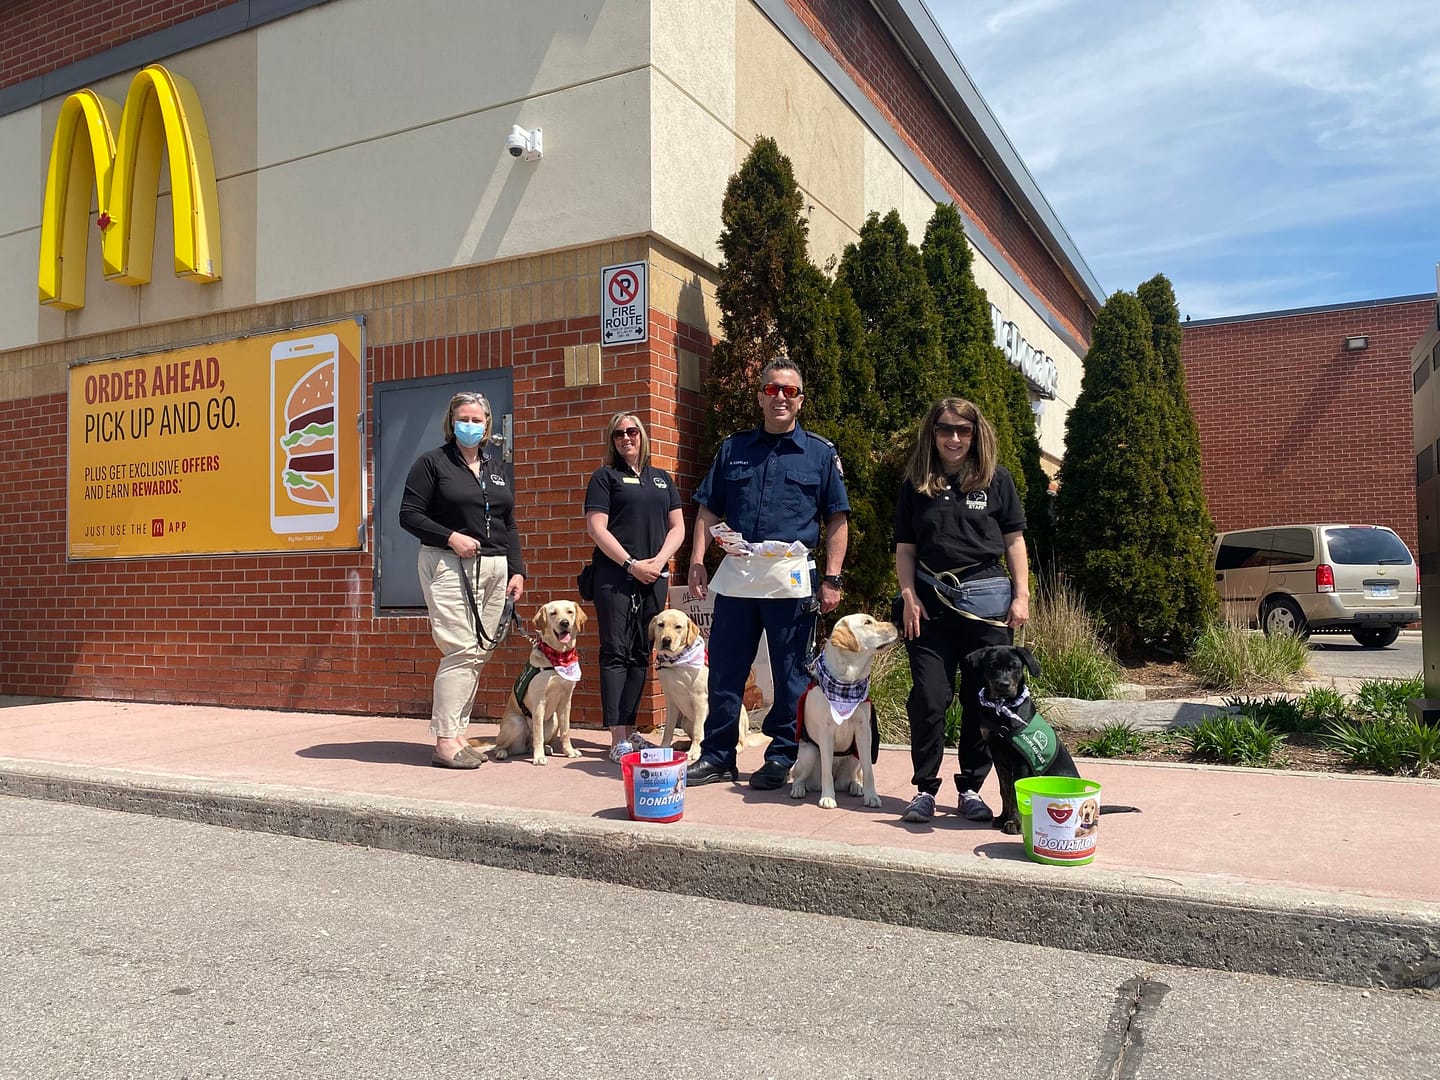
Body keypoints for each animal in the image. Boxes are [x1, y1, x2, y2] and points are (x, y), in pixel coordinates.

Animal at [489, 601, 584, 771]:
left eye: (570, 612)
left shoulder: (566, 701)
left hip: (553, 721)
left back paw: (546, 748)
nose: (564, 623)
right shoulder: (539, 701)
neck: (559, 656)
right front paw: (539, 758)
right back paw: (502, 753)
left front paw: (569, 751)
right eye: (553, 613)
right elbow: (538, 734)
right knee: (501, 746)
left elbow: (566, 731)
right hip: (516, 722)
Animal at [648, 610, 760, 771]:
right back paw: (682, 744)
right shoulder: (670, 700)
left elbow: (698, 731)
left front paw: (694, 752)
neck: (676, 664)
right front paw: (664, 748)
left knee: (739, 743)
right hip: (686, 722)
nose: (666, 640)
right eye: (661, 624)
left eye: (678, 627)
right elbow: (668, 729)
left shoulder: (699, 699)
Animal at [789, 616, 898, 812]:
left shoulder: (864, 731)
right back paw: (798, 789)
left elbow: (869, 770)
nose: (896, 624)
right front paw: (827, 798)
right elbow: (826, 771)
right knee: (799, 776)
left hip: (854, 756)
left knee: (853, 776)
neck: (847, 682)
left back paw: (857, 786)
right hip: (809, 754)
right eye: (868, 622)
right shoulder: (825, 731)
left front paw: (872, 796)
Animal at [961, 648, 1077, 835]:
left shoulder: (1020, 762)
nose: (1004, 685)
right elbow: (1005, 791)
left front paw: (1014, 823)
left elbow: (1016, 795)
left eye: (1014, 666)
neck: (1002, 709)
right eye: (993, 665)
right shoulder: (999, 758)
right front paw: (1002, 818)